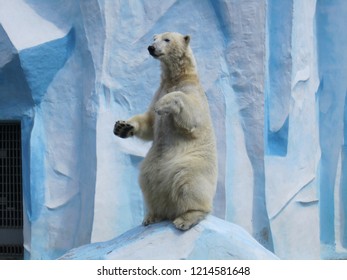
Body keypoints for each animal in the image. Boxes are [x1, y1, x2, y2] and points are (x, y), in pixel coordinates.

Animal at [114, 31, 218, 231]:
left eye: (167, 39)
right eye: (154, 39)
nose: (151, 47)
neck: (177, 77)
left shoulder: (192, 92)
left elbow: (193, 117)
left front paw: (164, 104)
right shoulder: (158, 90)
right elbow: (149, 123)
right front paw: (123, 126)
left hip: (193, 163)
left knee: (188, 182)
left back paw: (187, 217)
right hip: (152, 165)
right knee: (147, 182)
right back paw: (152, 216)